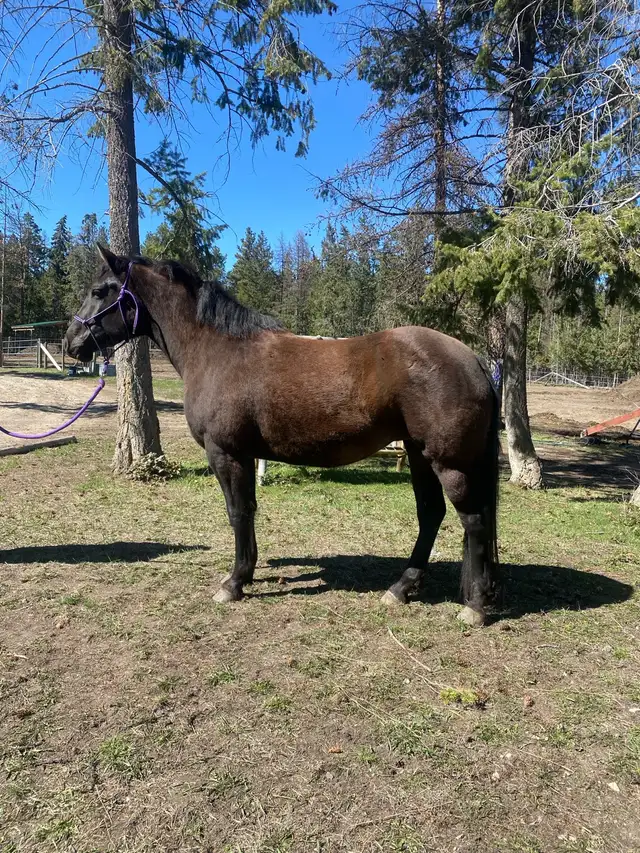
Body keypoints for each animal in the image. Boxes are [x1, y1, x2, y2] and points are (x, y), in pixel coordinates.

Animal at [65, 244, 500, 627]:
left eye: (99, 291)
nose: (72, 341)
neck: (216, 350)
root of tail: (473, 359)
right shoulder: (243, 455)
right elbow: (249, 510)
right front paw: (246, 574)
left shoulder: (226, 454)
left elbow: (238, 513)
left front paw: (234, 583)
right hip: (418, 454)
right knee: (431, 515)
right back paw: (400, 589)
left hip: (448, 463)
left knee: (474, 521)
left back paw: (475, 607)